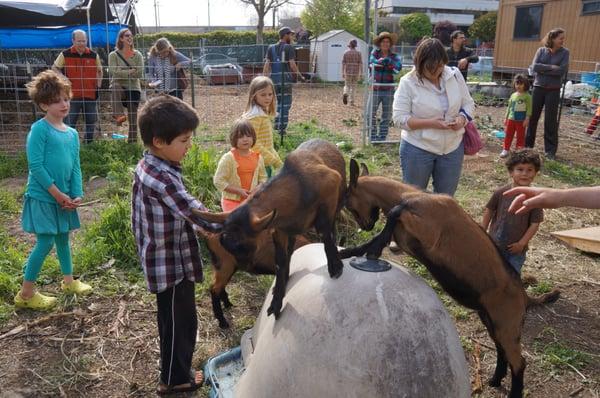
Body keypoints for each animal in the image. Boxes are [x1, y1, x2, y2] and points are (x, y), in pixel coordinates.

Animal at [190, 138, 344, 318]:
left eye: (243, 244)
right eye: (227, 243)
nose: (246, 267)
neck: (297, 184)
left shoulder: (331, 188)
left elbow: (326, 232)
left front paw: (335, 266)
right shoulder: (279, 229)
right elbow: (281, 261)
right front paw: (276, 302)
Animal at [340, 159, 560, 398]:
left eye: (348, 203)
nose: (366, 225)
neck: (411, 195)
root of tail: (525, 296)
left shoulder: (427, 231)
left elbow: (395, 213)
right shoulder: (402, 235)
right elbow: (373, 241)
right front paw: (345, 253)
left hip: (507, 325)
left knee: (519, 363)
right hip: (492, 321)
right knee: (502, 352)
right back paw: (494, 380)